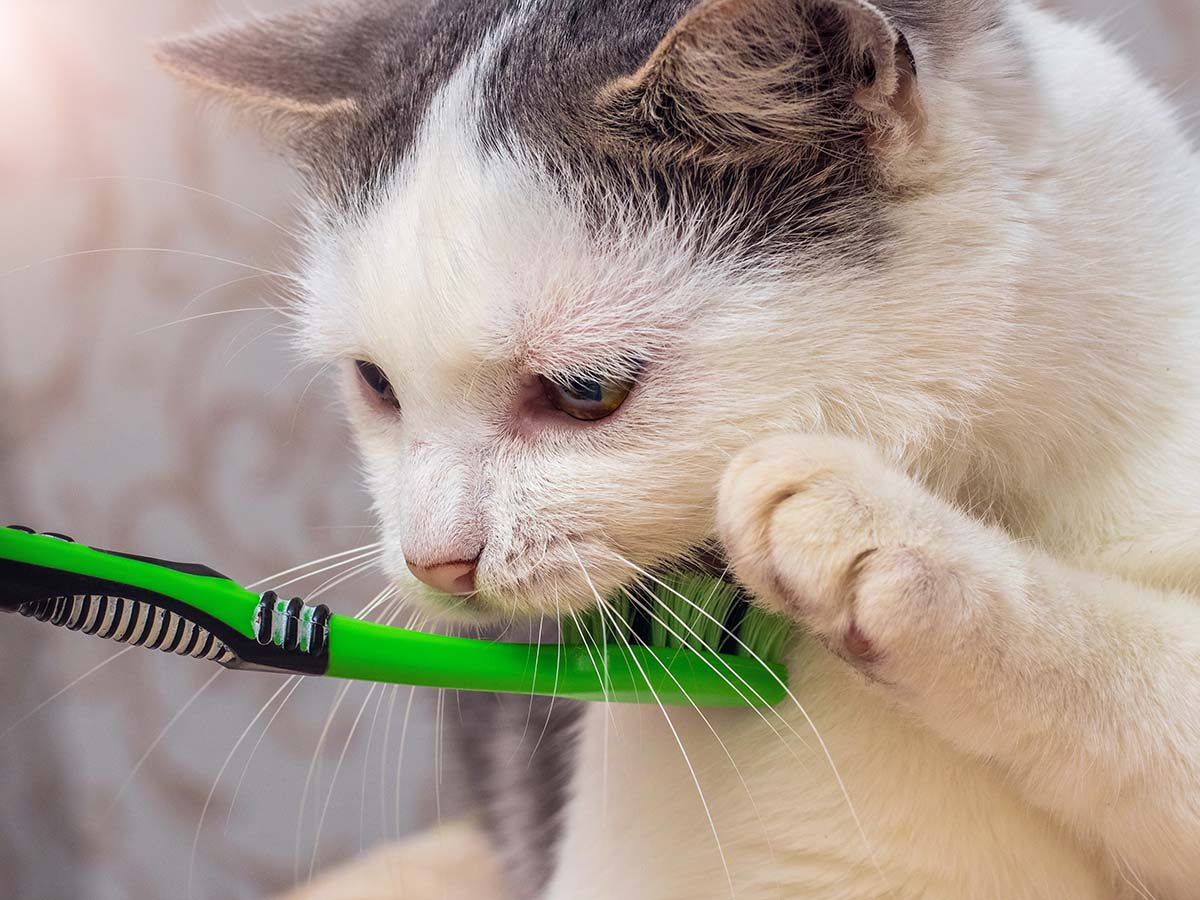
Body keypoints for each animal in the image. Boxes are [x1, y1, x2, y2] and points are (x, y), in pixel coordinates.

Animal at [159, 0, 1200, 897]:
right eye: (377, 383)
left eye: (586, 391)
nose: (436, 561)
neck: (983, 472)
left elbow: (1132, 676)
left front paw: (873, 531)